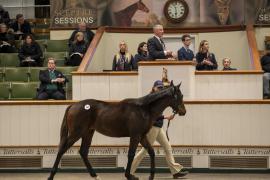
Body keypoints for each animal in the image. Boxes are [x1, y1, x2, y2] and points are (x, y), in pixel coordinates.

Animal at [48, 82, 186, 180]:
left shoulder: (142, 136)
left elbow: (151, 152)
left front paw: (151, 176)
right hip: (76, 133)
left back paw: (95, 175)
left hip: (88, 132)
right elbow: (131, 154)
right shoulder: (135, 136)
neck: (143, 109)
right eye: (179, 96)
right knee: (62, 149)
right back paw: (51, 176)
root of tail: (72, 105)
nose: (183, 111)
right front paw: (129, 176)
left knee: (83, 152)